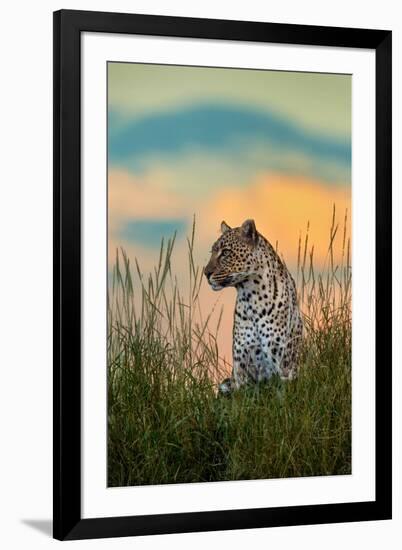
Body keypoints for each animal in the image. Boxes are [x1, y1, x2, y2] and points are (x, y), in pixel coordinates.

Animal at [206, 220, 304, 396]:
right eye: (213, 252)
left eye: (225, 253)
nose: (206, 273)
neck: (252, 299)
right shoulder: (241, 367)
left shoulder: (282, 367)